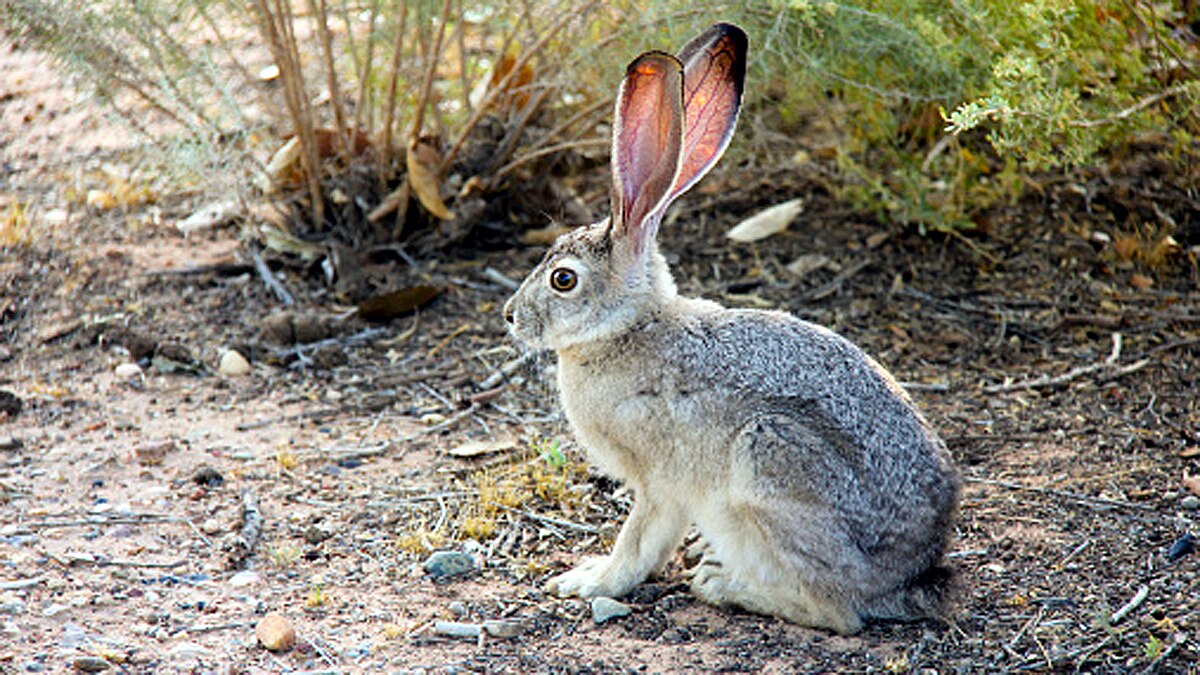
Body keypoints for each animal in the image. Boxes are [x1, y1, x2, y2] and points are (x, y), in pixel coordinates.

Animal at [502, 23, 960, 635]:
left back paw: (726, 585)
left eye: (563, 279)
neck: (629, 328)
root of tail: (910, 576)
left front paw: (591, 580)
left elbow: (639, 541)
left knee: (838, 613)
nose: (510, 316)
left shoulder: (659, 481)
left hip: (767, 460)